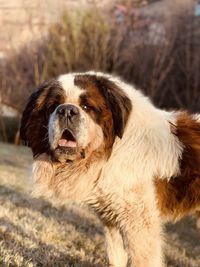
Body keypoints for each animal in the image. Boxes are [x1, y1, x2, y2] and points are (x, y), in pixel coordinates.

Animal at [19, 72, 200, 266]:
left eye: (87, 106)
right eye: (53, 106)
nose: (66, 110)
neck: (112, 149)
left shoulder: (139, 223)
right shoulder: (111, 218)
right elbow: (116, 255)